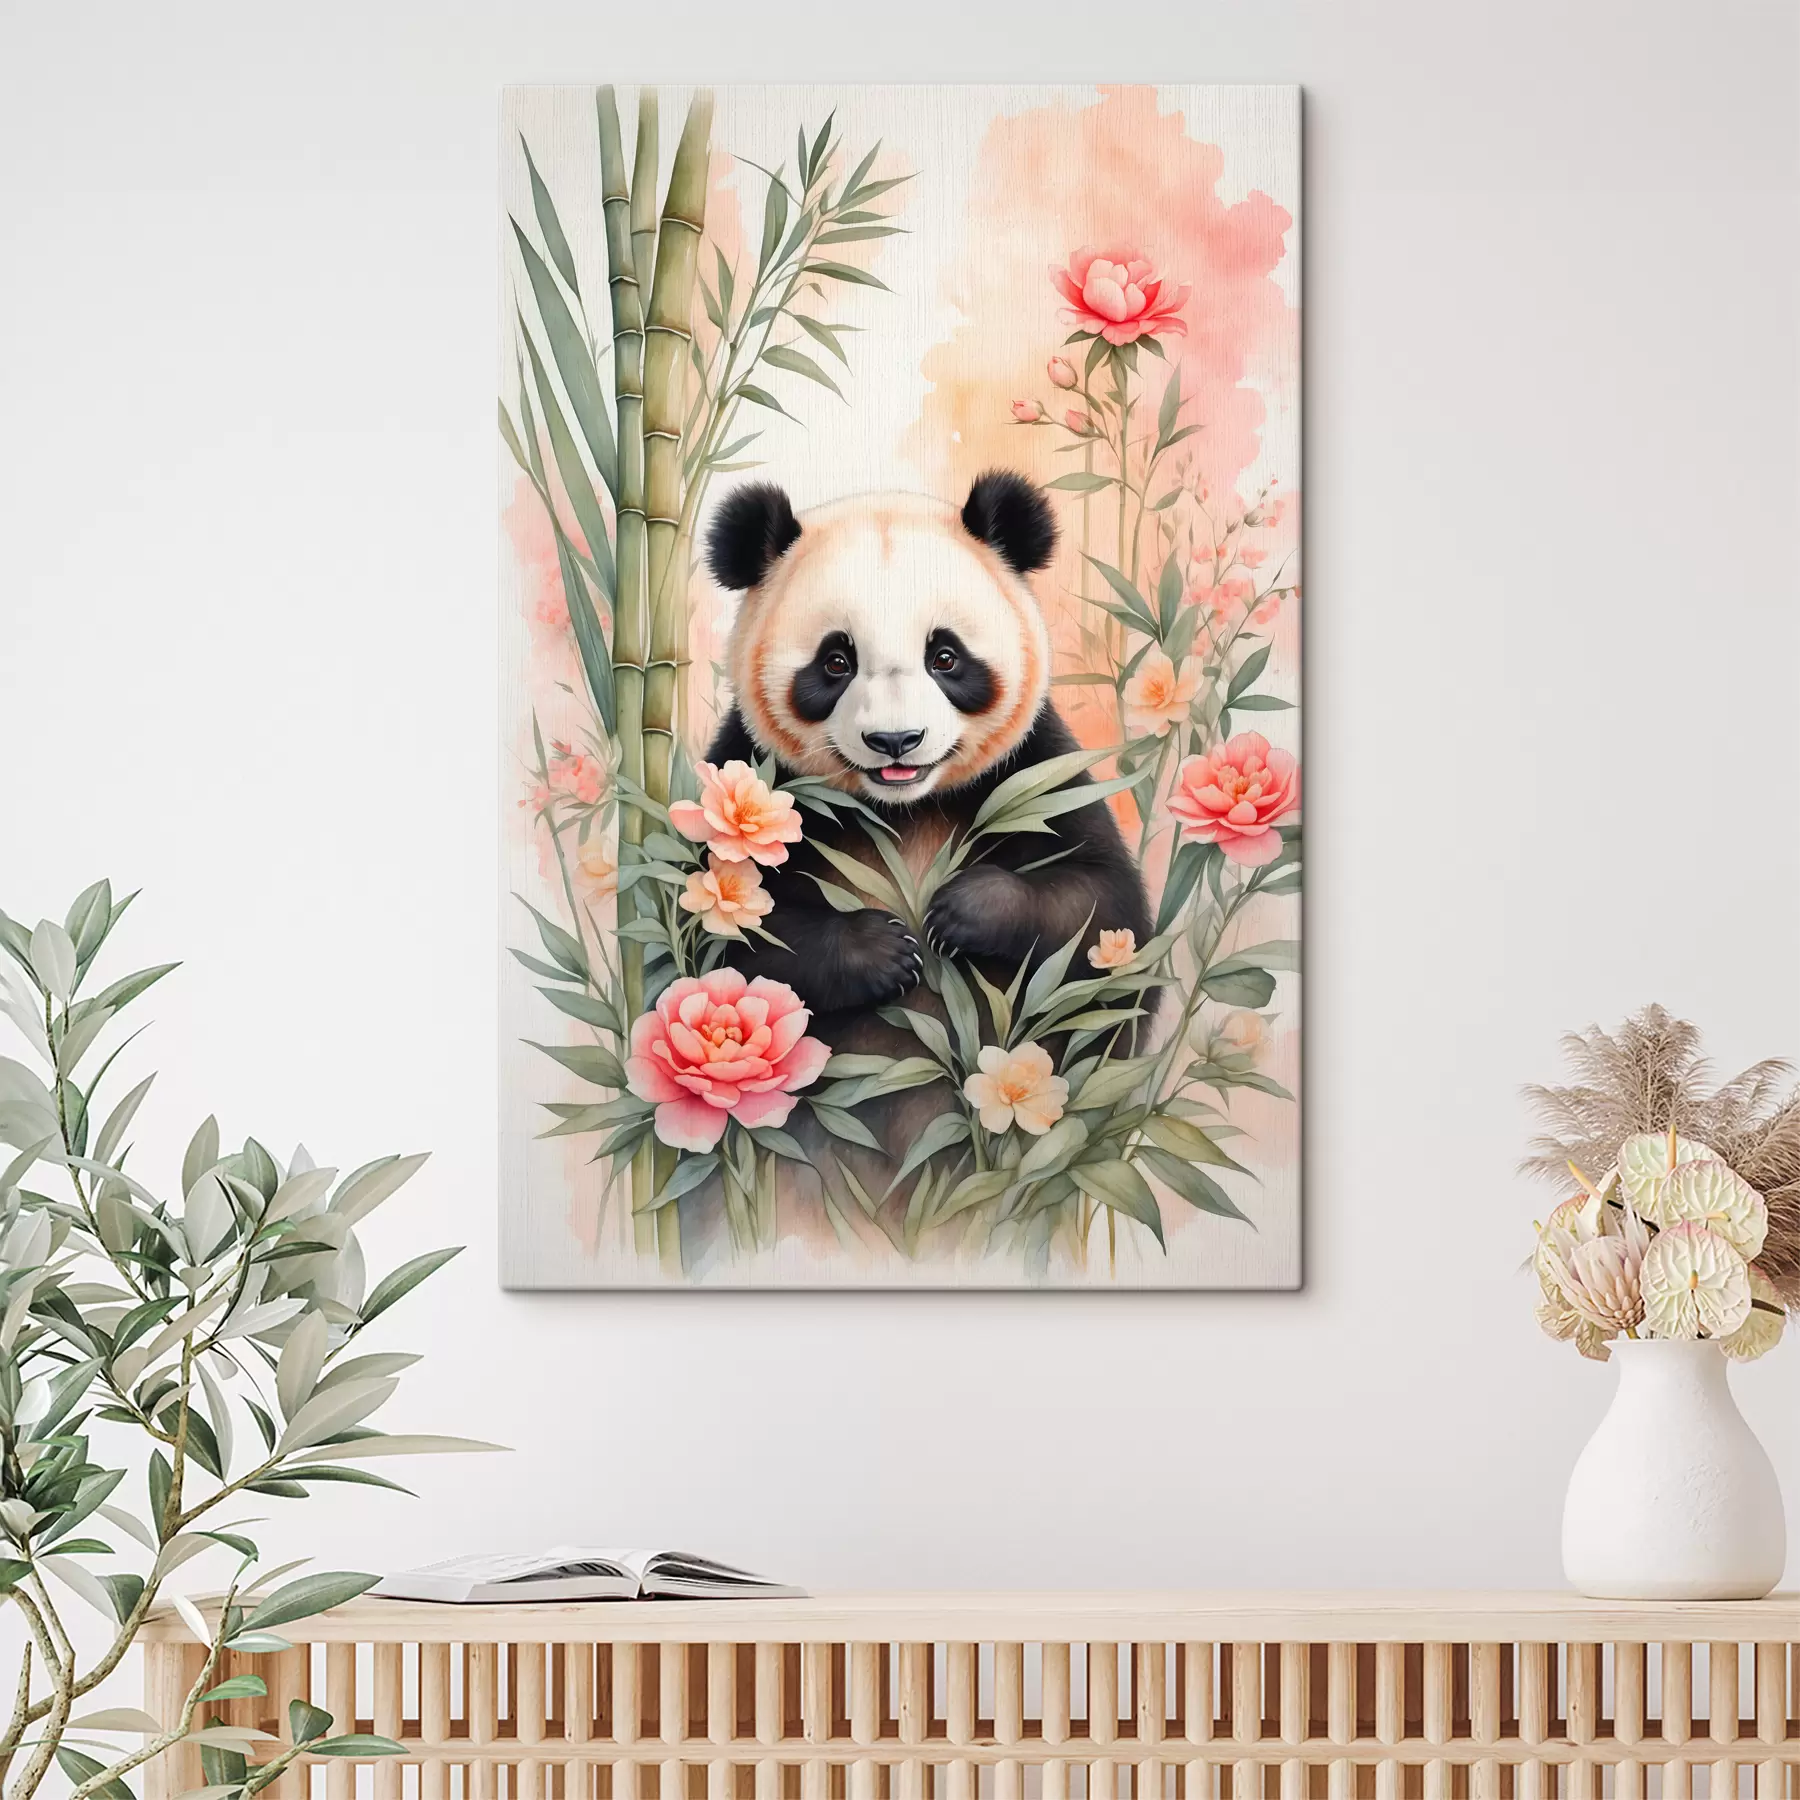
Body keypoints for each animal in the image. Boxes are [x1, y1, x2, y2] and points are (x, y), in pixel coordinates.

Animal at [699, 469, 1153, 1053]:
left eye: (945, 657)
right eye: (836, 661)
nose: (896, 740)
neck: (902, 810)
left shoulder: (1035, 773)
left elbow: (1106, 918)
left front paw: (961, 910)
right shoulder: (749, 778)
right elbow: (719, 939)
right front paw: (881, 950)